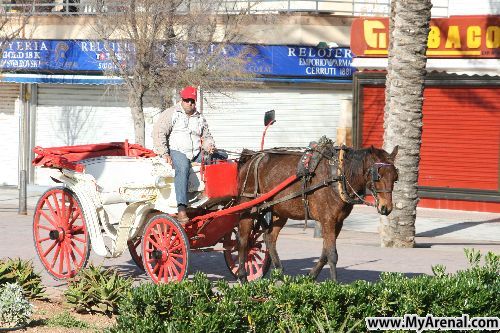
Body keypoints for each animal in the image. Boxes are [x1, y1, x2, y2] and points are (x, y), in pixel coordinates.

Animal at [235, 139, 398, 282]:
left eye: (395, 177)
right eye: (377, 176)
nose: (386, 208)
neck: (338, 176)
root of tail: (252, 158)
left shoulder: (337, 222)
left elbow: (325, 253)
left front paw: (310, 276)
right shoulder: (328, 220)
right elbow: (332, 254)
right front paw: (334, 285)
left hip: (279, 210)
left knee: (269, 238)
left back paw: (280, 274)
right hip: (248, 206)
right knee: (243, 240)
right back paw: (243, 276)